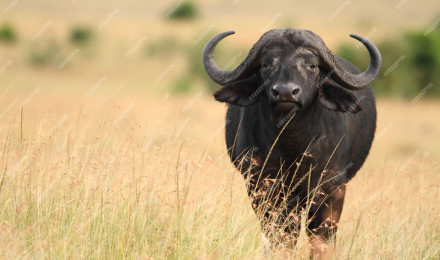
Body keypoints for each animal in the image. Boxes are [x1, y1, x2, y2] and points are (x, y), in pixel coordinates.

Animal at [203, 29, 382, 258]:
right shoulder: (261, 187)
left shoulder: (331, 189)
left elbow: (321, 238)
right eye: (266, 65)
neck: (292, 146)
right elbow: (281, 236)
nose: (286, 92)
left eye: (312, 65)